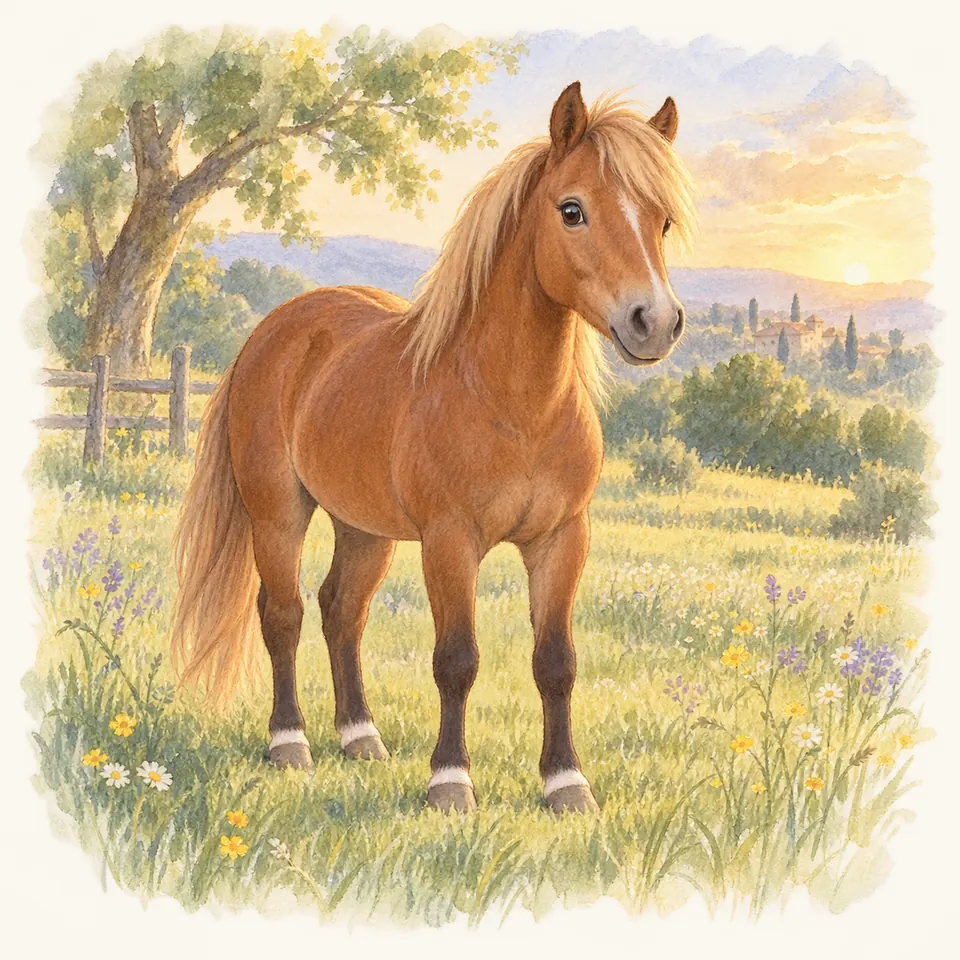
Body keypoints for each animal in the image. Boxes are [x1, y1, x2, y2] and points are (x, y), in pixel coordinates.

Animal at [171, 82, 694, 815]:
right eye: (573, 210)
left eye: (662, 221)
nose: (656, 322)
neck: (512, 406)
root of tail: (275, 329)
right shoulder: (451, 541)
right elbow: (457, 659)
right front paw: (450, 782)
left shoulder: (563, 538)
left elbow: (556, 662)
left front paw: (566, 785)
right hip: (277, 514)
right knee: (284, 615)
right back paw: (290, 743)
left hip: (364, 528)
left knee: (342, 611)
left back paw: (360, 737)